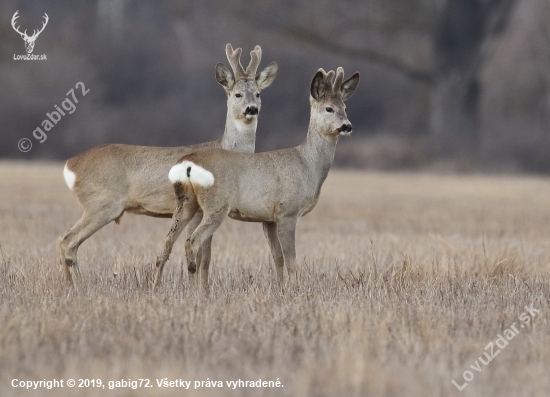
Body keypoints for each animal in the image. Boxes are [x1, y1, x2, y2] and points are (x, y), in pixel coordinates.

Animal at [59, 44, 280, 284]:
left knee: (65, 241)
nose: (251, 109)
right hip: (101, 204)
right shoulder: (200, 209)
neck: (227, 148)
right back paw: (79, 286)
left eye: (258, 93)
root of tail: (70, 165)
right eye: (237, 94)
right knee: (68, 241)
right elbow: (203, 256)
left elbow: (203, 256)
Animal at [155, 66, 362, 290]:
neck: (307, 165)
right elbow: (291, 260)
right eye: (329, 109)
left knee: (166, 244)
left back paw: (158, 287)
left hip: (186, 203)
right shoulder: (287, 212)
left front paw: (281, 289)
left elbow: (277, 258)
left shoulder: (268, 218)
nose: (347, 126)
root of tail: (187, 164)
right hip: (216, 205)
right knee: (191, 242)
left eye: (345, 107)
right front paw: (295, 290)